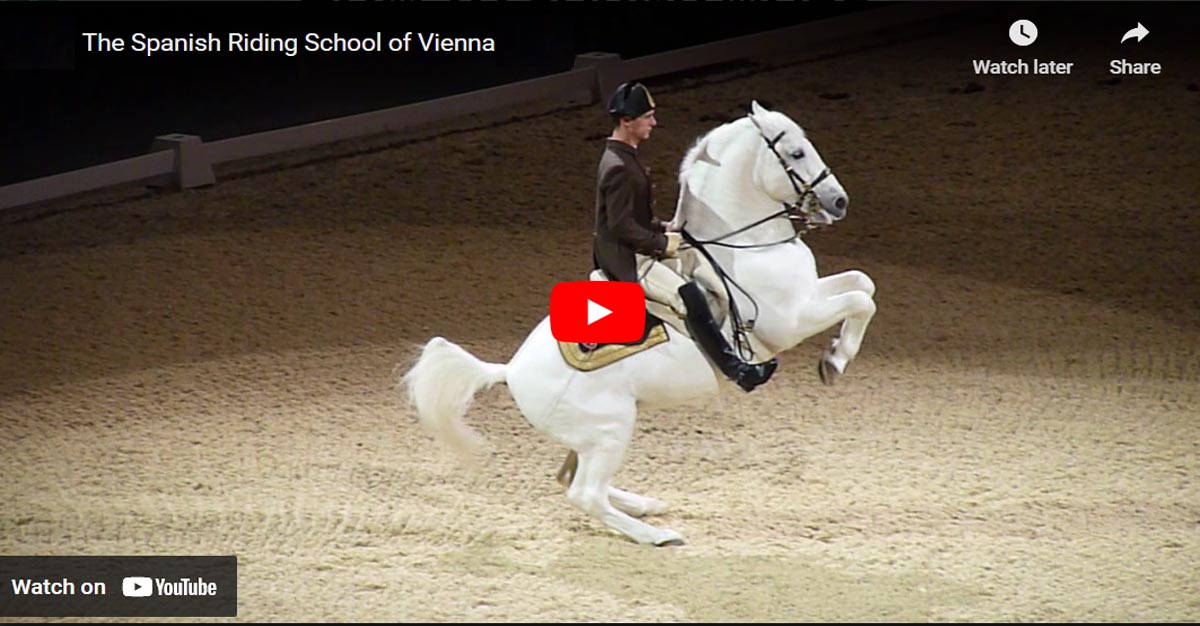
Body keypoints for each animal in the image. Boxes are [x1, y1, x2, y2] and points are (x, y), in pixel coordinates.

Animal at [398, 100, 878, 542]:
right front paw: (834, 363)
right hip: (610, 429)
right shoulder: (790, 320)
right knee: (584, 493)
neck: (744, 244)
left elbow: (863, 283)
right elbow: (860, 300)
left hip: (595, 435)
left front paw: (836, 354)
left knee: (570, 478)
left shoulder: (810, 294)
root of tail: (509, 370)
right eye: (796, 153)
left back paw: (645, 505)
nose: (839, 201)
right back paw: (656, 534)